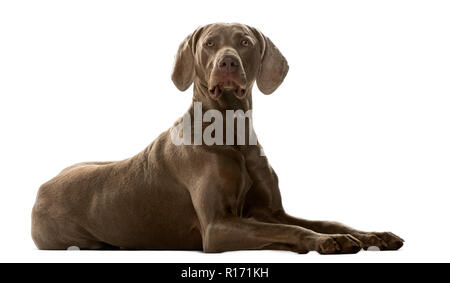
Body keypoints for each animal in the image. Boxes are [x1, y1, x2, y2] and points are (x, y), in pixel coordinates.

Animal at [32, 22, 404, 255]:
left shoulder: (271, 210)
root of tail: (41, 188)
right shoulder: (217, 227)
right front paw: (322, 242)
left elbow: (325, 220)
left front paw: (371, 235)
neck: (232, 130)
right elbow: (287, 231)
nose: (227, 62)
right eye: (210, 43)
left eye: (244, 42)